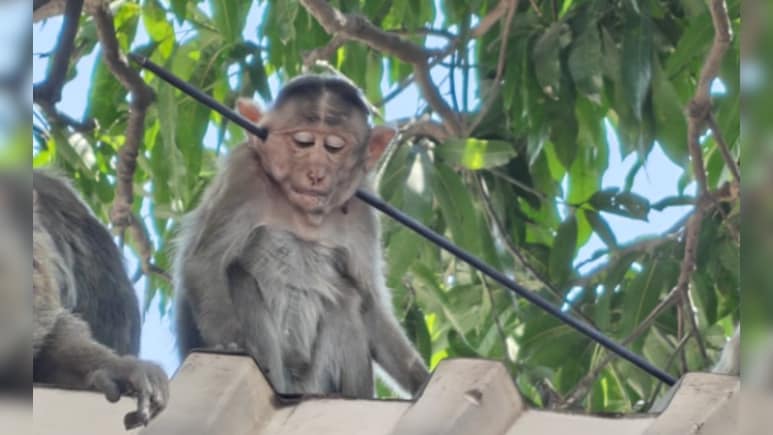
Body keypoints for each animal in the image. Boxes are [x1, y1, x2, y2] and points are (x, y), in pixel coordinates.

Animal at [174, 75, 430, 398]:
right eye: (302, 142)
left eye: (335, 147)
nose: (316, 172)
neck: (302, 213)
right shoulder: (243, 175)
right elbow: (204, 261)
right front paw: (230, 345)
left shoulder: (362, 211)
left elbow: (370, 302)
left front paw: (421, 378)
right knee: (237, 276)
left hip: (316, 380)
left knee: (346, 299)